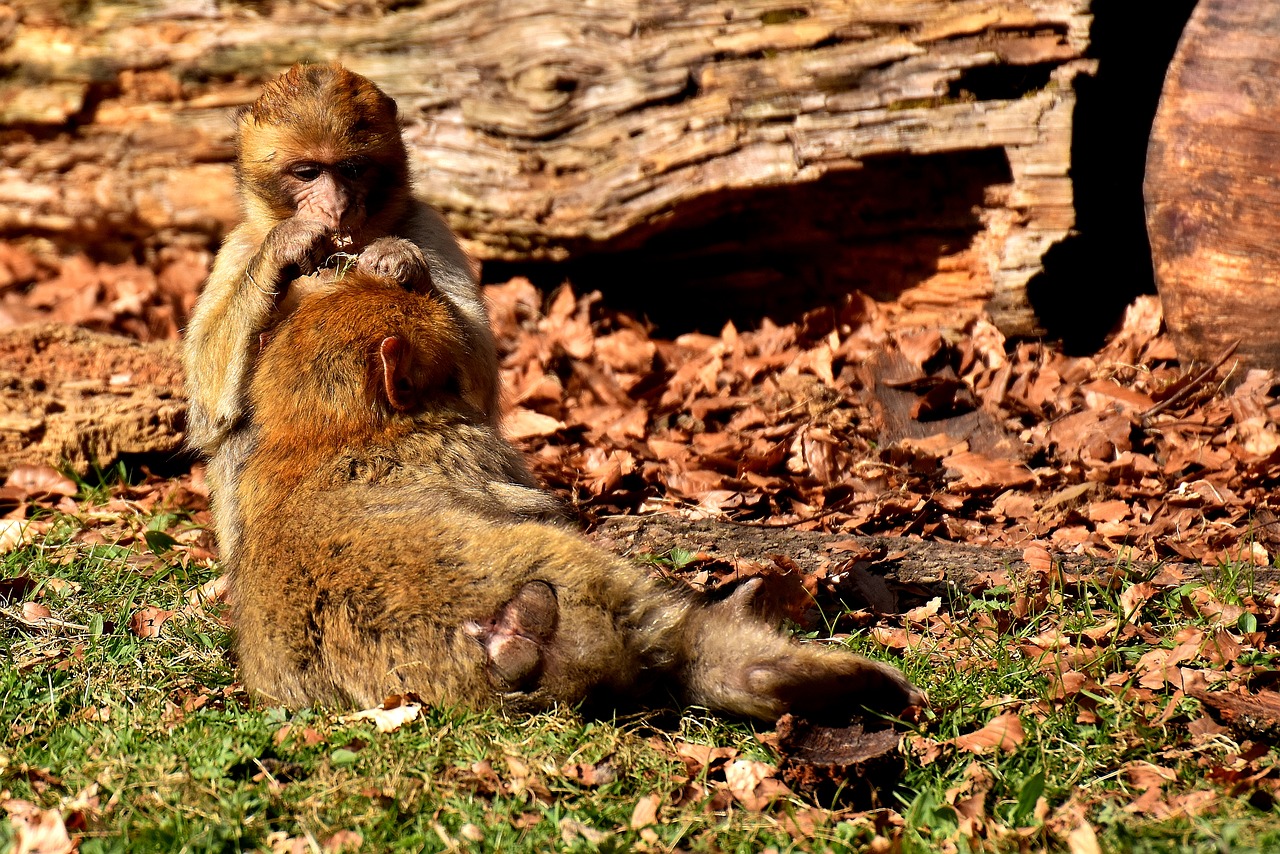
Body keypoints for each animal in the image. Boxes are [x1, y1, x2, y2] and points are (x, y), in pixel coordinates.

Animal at [185, 61, 504, 560]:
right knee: (236, 432)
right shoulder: (238, 247)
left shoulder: (430, 228)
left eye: (351, 169)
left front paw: (399, 262)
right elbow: (207, 411)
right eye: (307, 172)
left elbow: (480, 391)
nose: (334, 206)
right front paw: (284, 250)